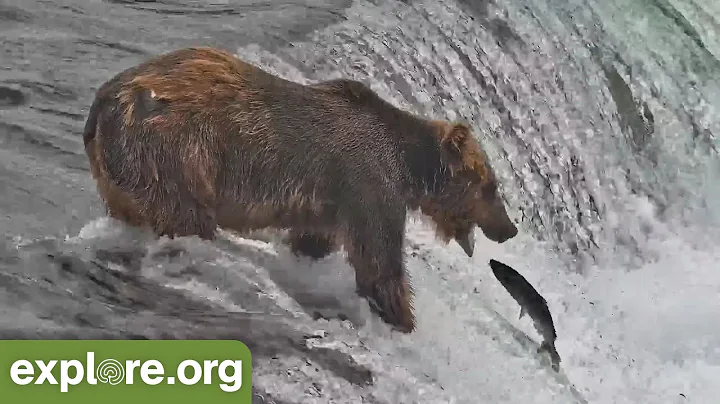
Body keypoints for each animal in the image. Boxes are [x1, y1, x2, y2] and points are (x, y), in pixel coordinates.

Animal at [82, 46, 518, 333]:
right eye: (490, 186)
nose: (510, 229)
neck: (408, 165)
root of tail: (106, 100)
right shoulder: (369, 183)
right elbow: (378, 262)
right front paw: (402, 317)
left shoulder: (329, 204)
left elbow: (314, 242)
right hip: (177, 152)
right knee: (185, 215)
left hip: (120, 174)